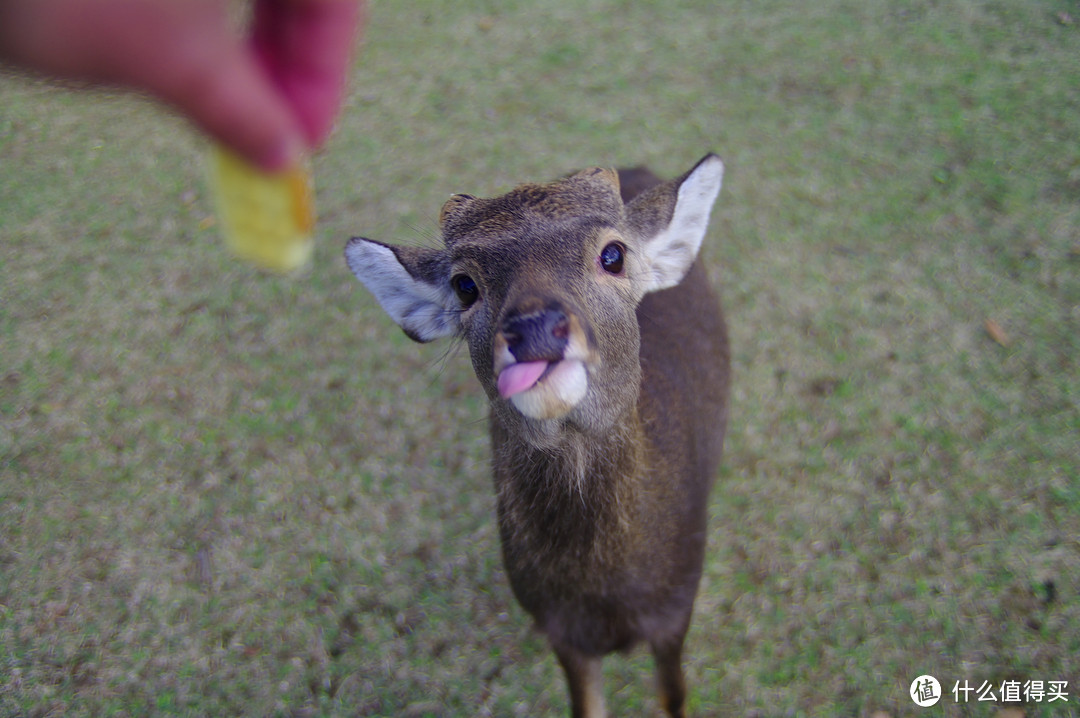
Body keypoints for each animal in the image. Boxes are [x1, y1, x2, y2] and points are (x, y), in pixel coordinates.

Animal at [343, 154, 734, 712]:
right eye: (465, 284)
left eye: (613, 254)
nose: (534, 330)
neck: (605, 598)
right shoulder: (558, 630)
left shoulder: (679, 606)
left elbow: (674, 698)